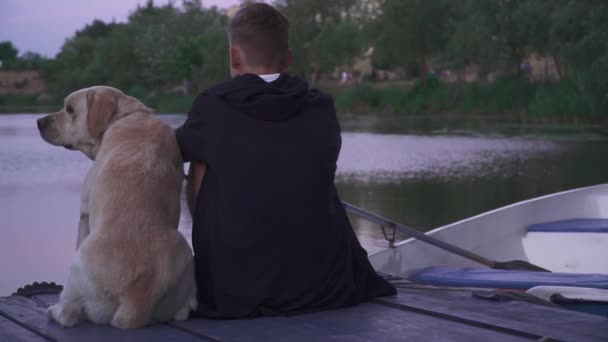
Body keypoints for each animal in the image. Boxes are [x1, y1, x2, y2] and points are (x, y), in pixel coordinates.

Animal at [36, 85, 197, 328]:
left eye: (70, 109)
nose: (38, 121)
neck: (126, 115)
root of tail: (136, 298)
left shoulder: (84, 210)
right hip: (184, 252)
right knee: (183, 310)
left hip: (77, 265)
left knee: (69, 313)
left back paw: (54, 311)